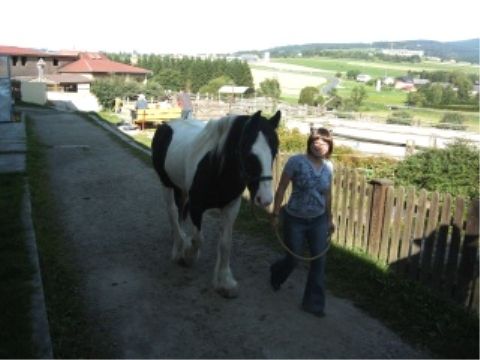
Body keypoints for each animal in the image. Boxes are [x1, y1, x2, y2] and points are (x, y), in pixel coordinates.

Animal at [152, 110, 282, 298]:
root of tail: (167, 124)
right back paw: (178, 248)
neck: (216, 168)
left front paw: (224, 281)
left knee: (180, 215)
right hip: (167, 185)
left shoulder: (231, 207)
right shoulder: (197, 206)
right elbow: (198, 239)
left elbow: (225, 243)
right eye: (249, 153)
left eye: (274, 150)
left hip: (182, 190)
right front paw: (188, 255)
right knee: (173, 214)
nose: (265, 199)